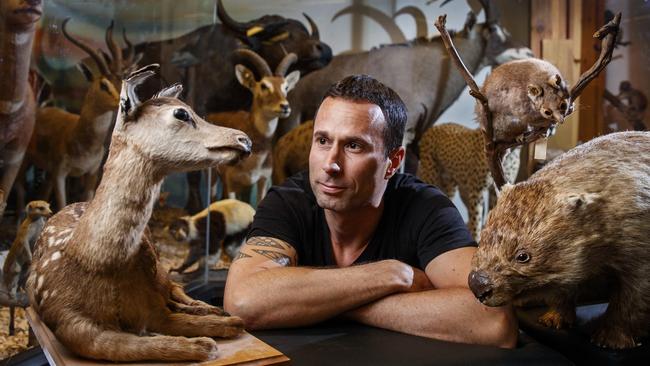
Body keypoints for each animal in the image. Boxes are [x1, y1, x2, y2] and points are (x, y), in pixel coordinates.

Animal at [15, 19, 139, 214]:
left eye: (123, 81)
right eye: (103, 84)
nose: (125, 103)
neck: (81, 138)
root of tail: (41, 111)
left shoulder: (91, 173)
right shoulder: (60, 174)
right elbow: (62, 205)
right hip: (26, 160)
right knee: (20, 187)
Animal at [24, 65, 251, 360]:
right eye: (181, 113)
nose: (244, 139)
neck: (92, 260)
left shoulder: (152, 302)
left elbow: (220, 322)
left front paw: (216, 323)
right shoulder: (68, 321)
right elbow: (134, 347)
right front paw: (204, 344)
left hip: (160, 271)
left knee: (178, 289)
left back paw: (207, 306)